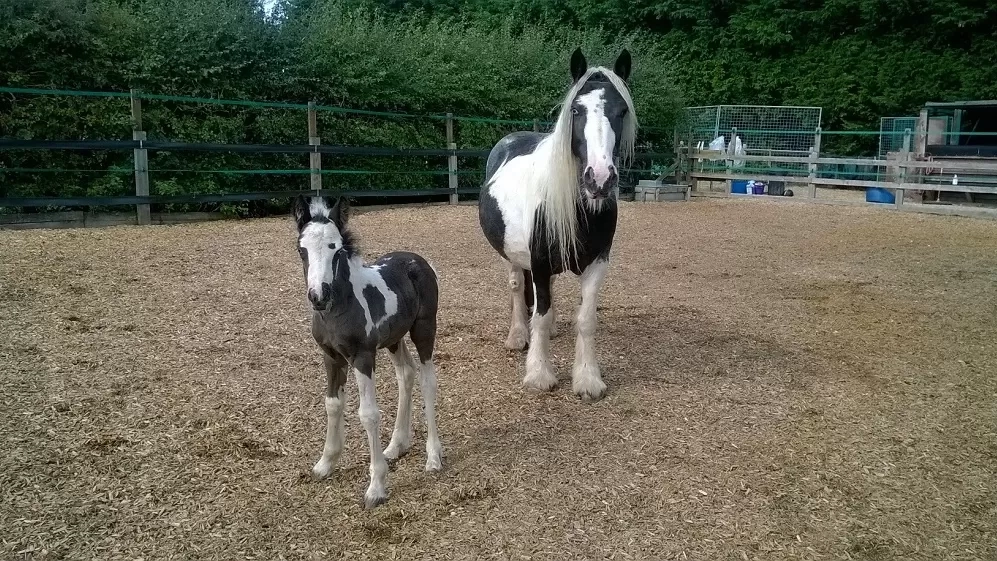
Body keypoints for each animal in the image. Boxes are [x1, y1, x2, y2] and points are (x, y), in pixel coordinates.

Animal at [290, 196, 442, 508]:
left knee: (427, 381)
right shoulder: (331, 357)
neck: (339, 307)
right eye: (302, 249)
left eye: (335, 249)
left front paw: (376, 487)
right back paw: (396, 446)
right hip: (394, 339)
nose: (318, 296)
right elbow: (332, 404)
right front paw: (326, 463)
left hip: (424, 330)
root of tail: (418, 260)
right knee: (405, 374)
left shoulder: (362, 357)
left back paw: (433, 457)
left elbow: (368, 414)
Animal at [476, 47, 640, 398]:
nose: (600, 179)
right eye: (576, 110)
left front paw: (588, 379)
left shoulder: (597, 263)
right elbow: (538, 313)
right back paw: (517, 336)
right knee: (518, 288)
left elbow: (586, 320)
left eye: (621, 111)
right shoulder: (537, 260)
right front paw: (539, 374)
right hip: (513, 256)